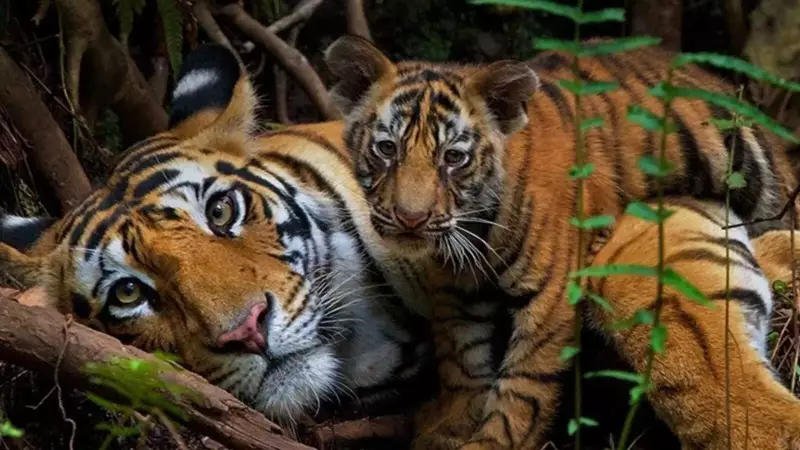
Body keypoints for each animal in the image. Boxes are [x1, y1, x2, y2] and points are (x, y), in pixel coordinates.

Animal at [321, 35, 800, 449]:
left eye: (453, 157)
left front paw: (495, 442)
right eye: (386, 149)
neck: (473, 229)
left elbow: (524, 385)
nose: (411, 218)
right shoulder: (455, 290)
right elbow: (462, 359)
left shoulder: (549, 292)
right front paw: (450, 426)